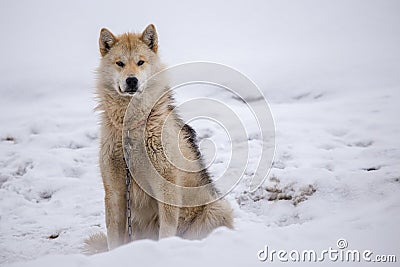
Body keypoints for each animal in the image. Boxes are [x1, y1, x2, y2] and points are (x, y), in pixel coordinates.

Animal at [85, 24, 234, 253]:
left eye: (140, 62)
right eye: (120, 63)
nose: (131, 80)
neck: (131, 128)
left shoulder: (166, 189)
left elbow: (166, 231)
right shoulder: (114, 192)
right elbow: (114, 237)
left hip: (216, 209)